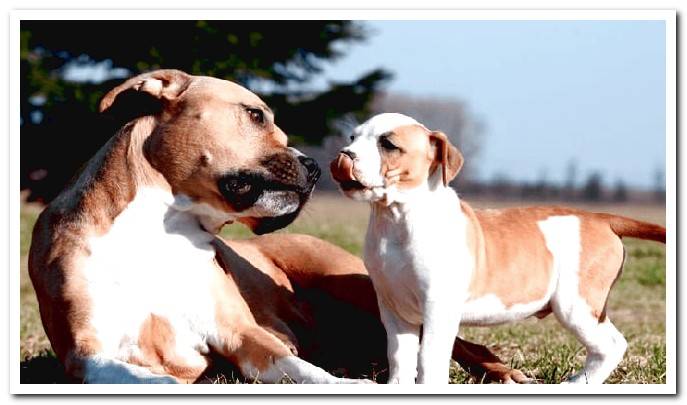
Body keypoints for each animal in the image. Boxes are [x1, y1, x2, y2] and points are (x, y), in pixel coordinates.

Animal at [25, 69, 520, 382]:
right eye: (255, 115)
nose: (316, 167)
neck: (160, 230)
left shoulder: (243, 335)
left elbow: (302, 371)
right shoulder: (88, 355)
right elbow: (148, 380)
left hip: (368, 291)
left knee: (465, 346)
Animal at [332, 112, 668, 384]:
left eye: (388, 144)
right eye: (353, 137)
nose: (344, 155)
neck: (395, 216)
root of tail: (600, 218)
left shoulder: (438, 308)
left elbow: (429, 358)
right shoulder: (394, 309)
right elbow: (400, 356)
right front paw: (397, 386)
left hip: (576, 304)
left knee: (612, 345)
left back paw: (576, 384)